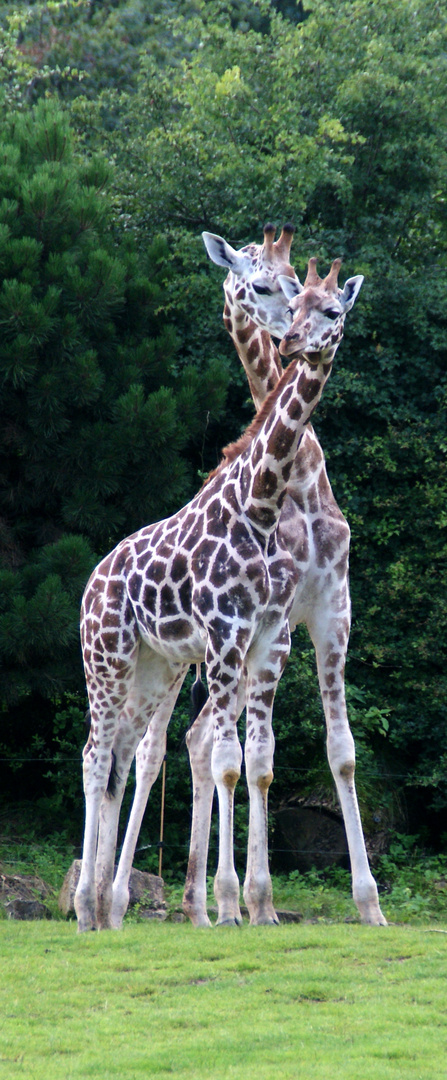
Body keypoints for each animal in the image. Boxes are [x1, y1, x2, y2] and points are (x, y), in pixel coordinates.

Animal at [73, 250, 360, 928]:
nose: (290, 341)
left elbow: (258, 758)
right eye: (281, 295)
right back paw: (87, 907)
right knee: (97, 758)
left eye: (329, 310)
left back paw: (107, 910)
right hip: (106, 660)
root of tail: (91, 583)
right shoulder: (228, 634)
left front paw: (253, 905)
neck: (261, 503)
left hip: (154, 669)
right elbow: (231, 761)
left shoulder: (269, 635)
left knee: (123, 756)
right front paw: (233, 906)